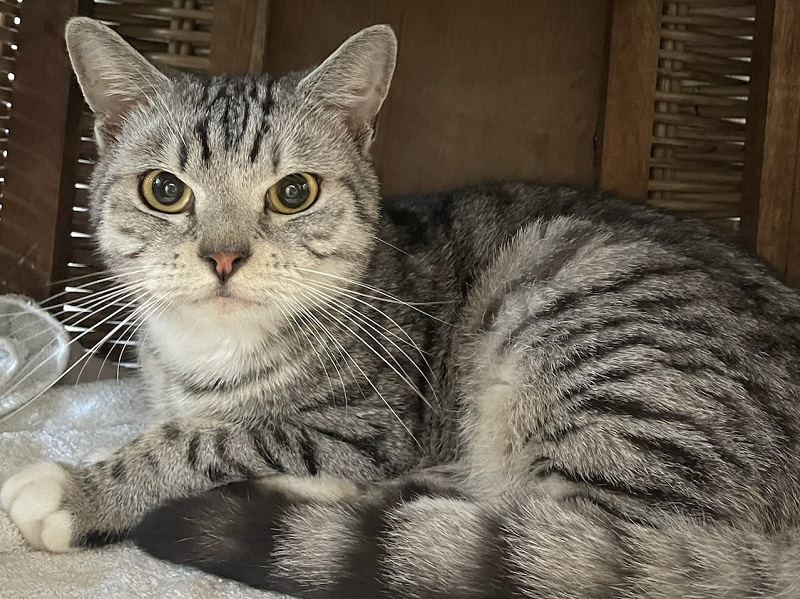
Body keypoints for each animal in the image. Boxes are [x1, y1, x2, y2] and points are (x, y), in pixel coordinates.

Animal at [3, 15, 800, 599]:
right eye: (164, 190)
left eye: (294, 192)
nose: (224, 257)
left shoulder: (366, 427)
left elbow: (212, 437)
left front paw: (82, 489)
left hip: (590, 330)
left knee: (552, 539)